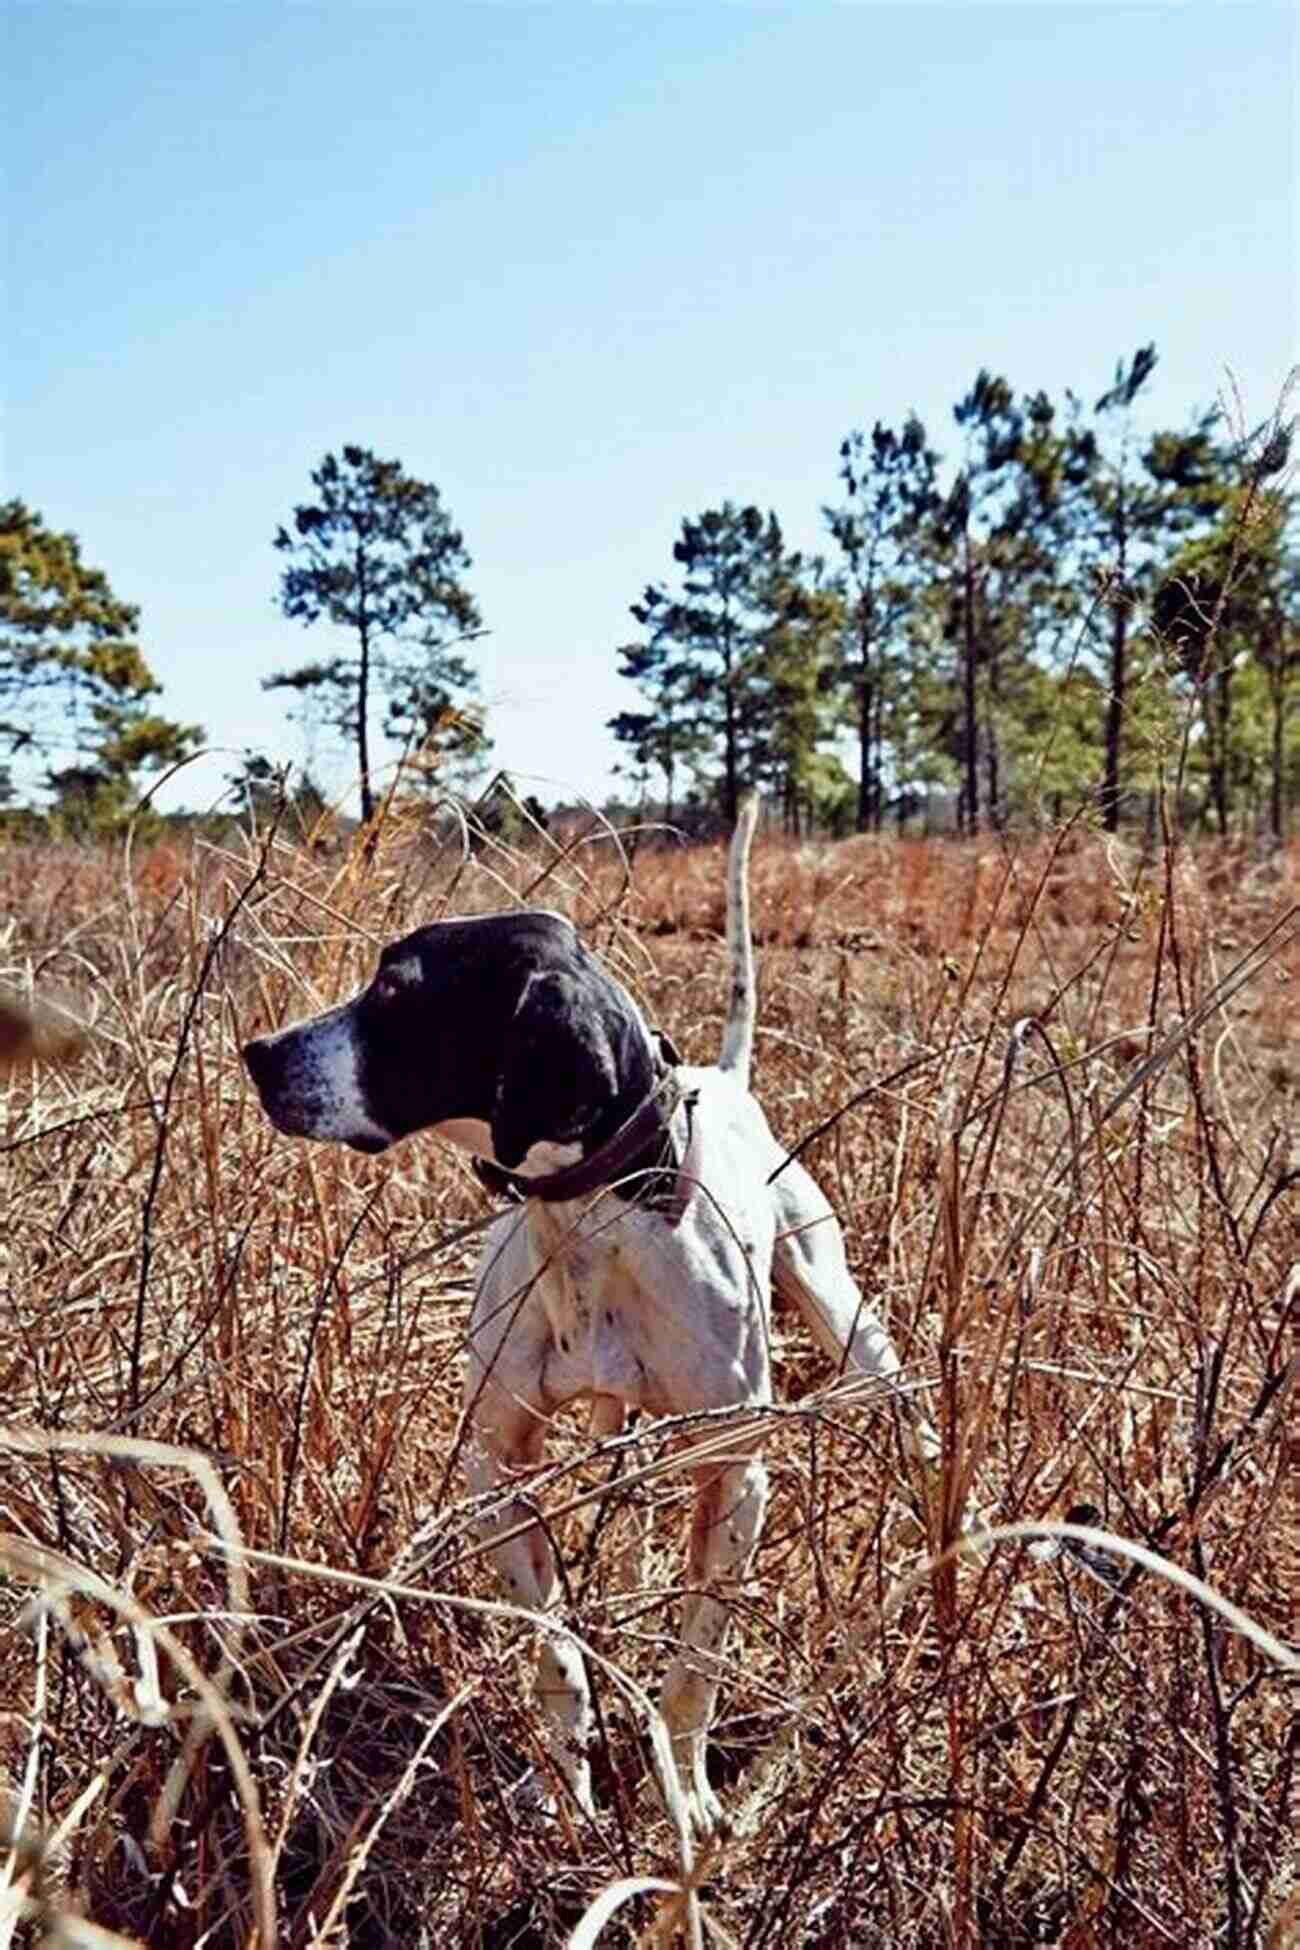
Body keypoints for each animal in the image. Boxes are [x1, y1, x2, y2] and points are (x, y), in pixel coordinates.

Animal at [241, 799, 935, 1833]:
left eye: (399, 995)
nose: (259, 1055)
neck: (592, 1221)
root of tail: (730, 1080)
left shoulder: (737, 1478)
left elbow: (694, 1670)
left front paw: (687, 1799)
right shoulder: (499, 1469)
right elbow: (553, 1649)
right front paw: (566, 1789)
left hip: (842, 1310)